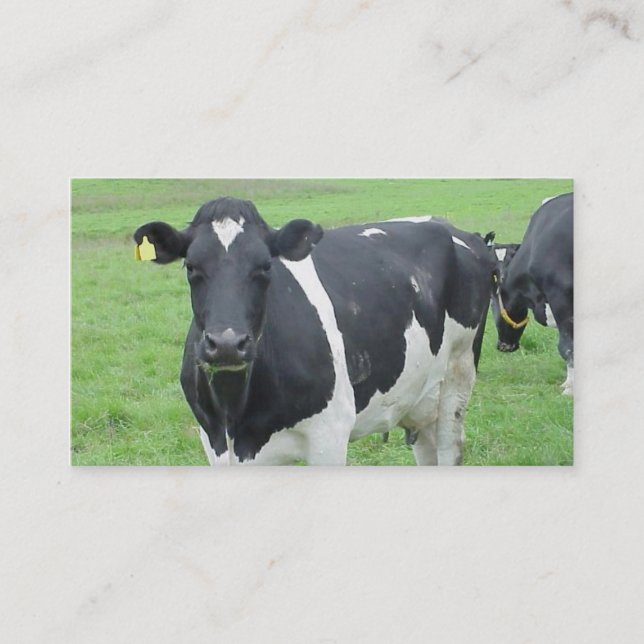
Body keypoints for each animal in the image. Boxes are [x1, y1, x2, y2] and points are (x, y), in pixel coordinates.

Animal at [134, 197, 495, 465]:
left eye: (265, 266)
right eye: (191, 266)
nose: (226, 344)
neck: (238, 416)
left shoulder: (329, 435)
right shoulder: (214, 442)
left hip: (458, 376)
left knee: (449, 447)